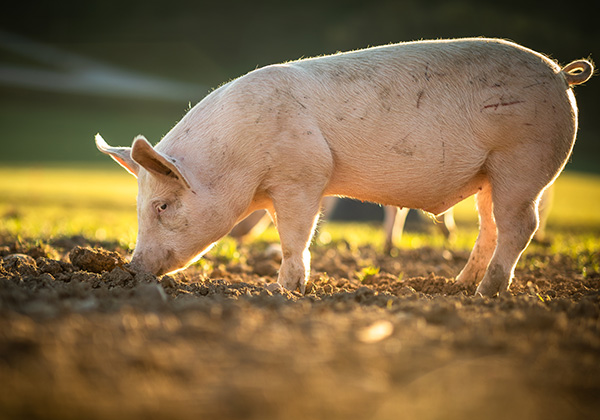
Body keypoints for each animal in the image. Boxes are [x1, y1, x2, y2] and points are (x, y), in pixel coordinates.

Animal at [94, 37, 592, 296]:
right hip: (490, 176)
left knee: (520, 226)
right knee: (489, 228)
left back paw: (487, 293)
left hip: (523, 163)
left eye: (161, 206)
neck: (238, 159)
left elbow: (294, 237)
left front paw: (283, 291)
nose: (132, 269)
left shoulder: (303, 175)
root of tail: (561, 75)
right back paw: (457, 285)